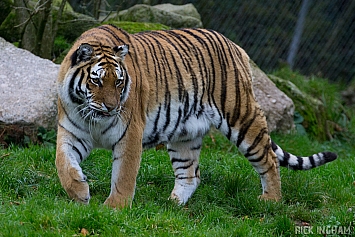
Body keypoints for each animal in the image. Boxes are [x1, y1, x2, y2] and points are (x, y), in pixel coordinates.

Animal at [55, 24, 336, 208]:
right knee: (190, 174)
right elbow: (63, 163)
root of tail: (236, 47)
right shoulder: (71, 132)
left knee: (268, 158)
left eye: (119, 83)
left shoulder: (129, 134)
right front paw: (79, 192)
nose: (112, 108)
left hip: (241, 116)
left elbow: (124, 175)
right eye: (97, 81)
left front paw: (114, 209)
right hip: (184, 134)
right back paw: (171, 205)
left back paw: (271, 201)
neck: (91, 116)